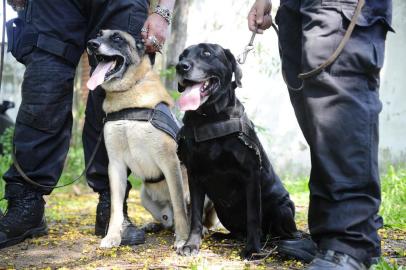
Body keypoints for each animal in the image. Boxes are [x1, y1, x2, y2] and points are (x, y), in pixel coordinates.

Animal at [87, 30, 189, 250]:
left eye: (117, 38)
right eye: (99, 33)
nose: (91, 44)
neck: (128, 94)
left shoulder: (170, 162)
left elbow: (179, 206)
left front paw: (184, 238)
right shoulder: (115, 165)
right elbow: (116, 207)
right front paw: (113, 236)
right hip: (145, 198)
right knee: (168, 221)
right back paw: (153, 225)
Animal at [174, 43, 314, 260]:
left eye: (207, 53)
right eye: (182, 55)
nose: (181, 66)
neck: (210, 118)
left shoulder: (251, 174)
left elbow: (253, 216)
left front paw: (252, 249)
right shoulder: (194, 174)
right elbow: (195, 215)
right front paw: (191, 245)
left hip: (282, 208)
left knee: (284, 234)